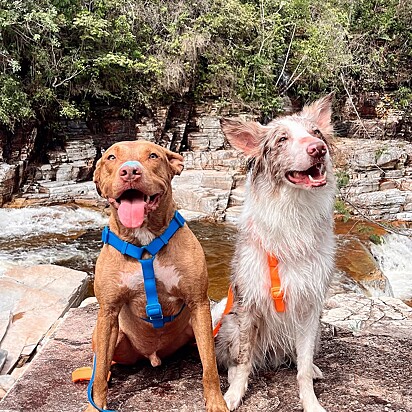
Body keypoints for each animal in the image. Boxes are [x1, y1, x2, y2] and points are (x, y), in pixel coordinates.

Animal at [87, 141, 229, 412]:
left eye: (153, 155)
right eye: (111, 157)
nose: (130, 171)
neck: (144, 245)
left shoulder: (198, 303)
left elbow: (209, 366)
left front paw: (216, 402)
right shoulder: (107, 311)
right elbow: (98, 374)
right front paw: (95, 404)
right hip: (111, 337)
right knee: (104, 360)